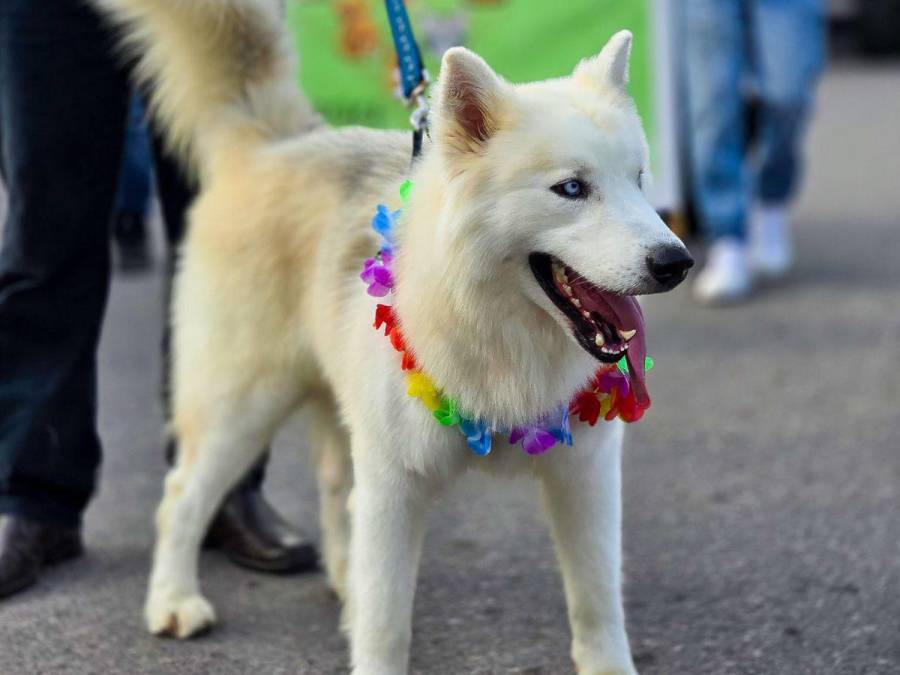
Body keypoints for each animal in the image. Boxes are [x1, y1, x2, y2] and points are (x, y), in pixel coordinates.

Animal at [96, 0, 688, 672]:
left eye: (639, 180)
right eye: (571, 188)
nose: (677, 262)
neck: (494, 331)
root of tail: (280, 141)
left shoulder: (585, 476)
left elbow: (596, 607)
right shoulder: (393, 488)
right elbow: (385, 625)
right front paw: (369, 630)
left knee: (332, 491)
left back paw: (339, 581)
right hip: (240, 409)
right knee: (180, 499)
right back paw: (172, 599)